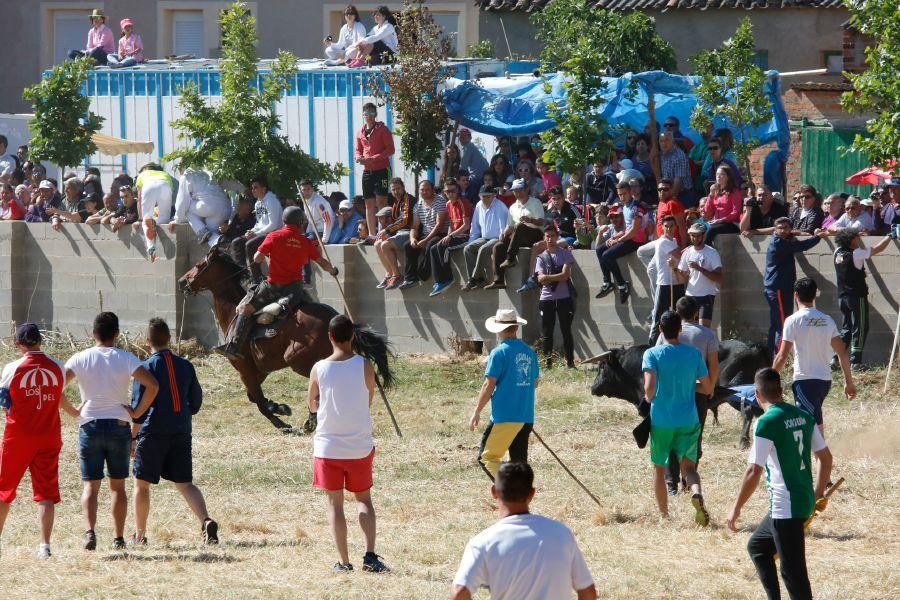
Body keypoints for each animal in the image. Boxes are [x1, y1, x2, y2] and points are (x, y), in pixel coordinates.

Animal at [179, 246, 394, 434]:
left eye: (199, 265)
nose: (182, 282)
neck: (233, 311)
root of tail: (333, 319)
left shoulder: (244, 369)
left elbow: (259, 402)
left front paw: (281, 418)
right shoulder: (259, 371)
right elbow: (254, 398)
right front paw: (278, 407)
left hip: (297, 360)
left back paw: (312, 421)